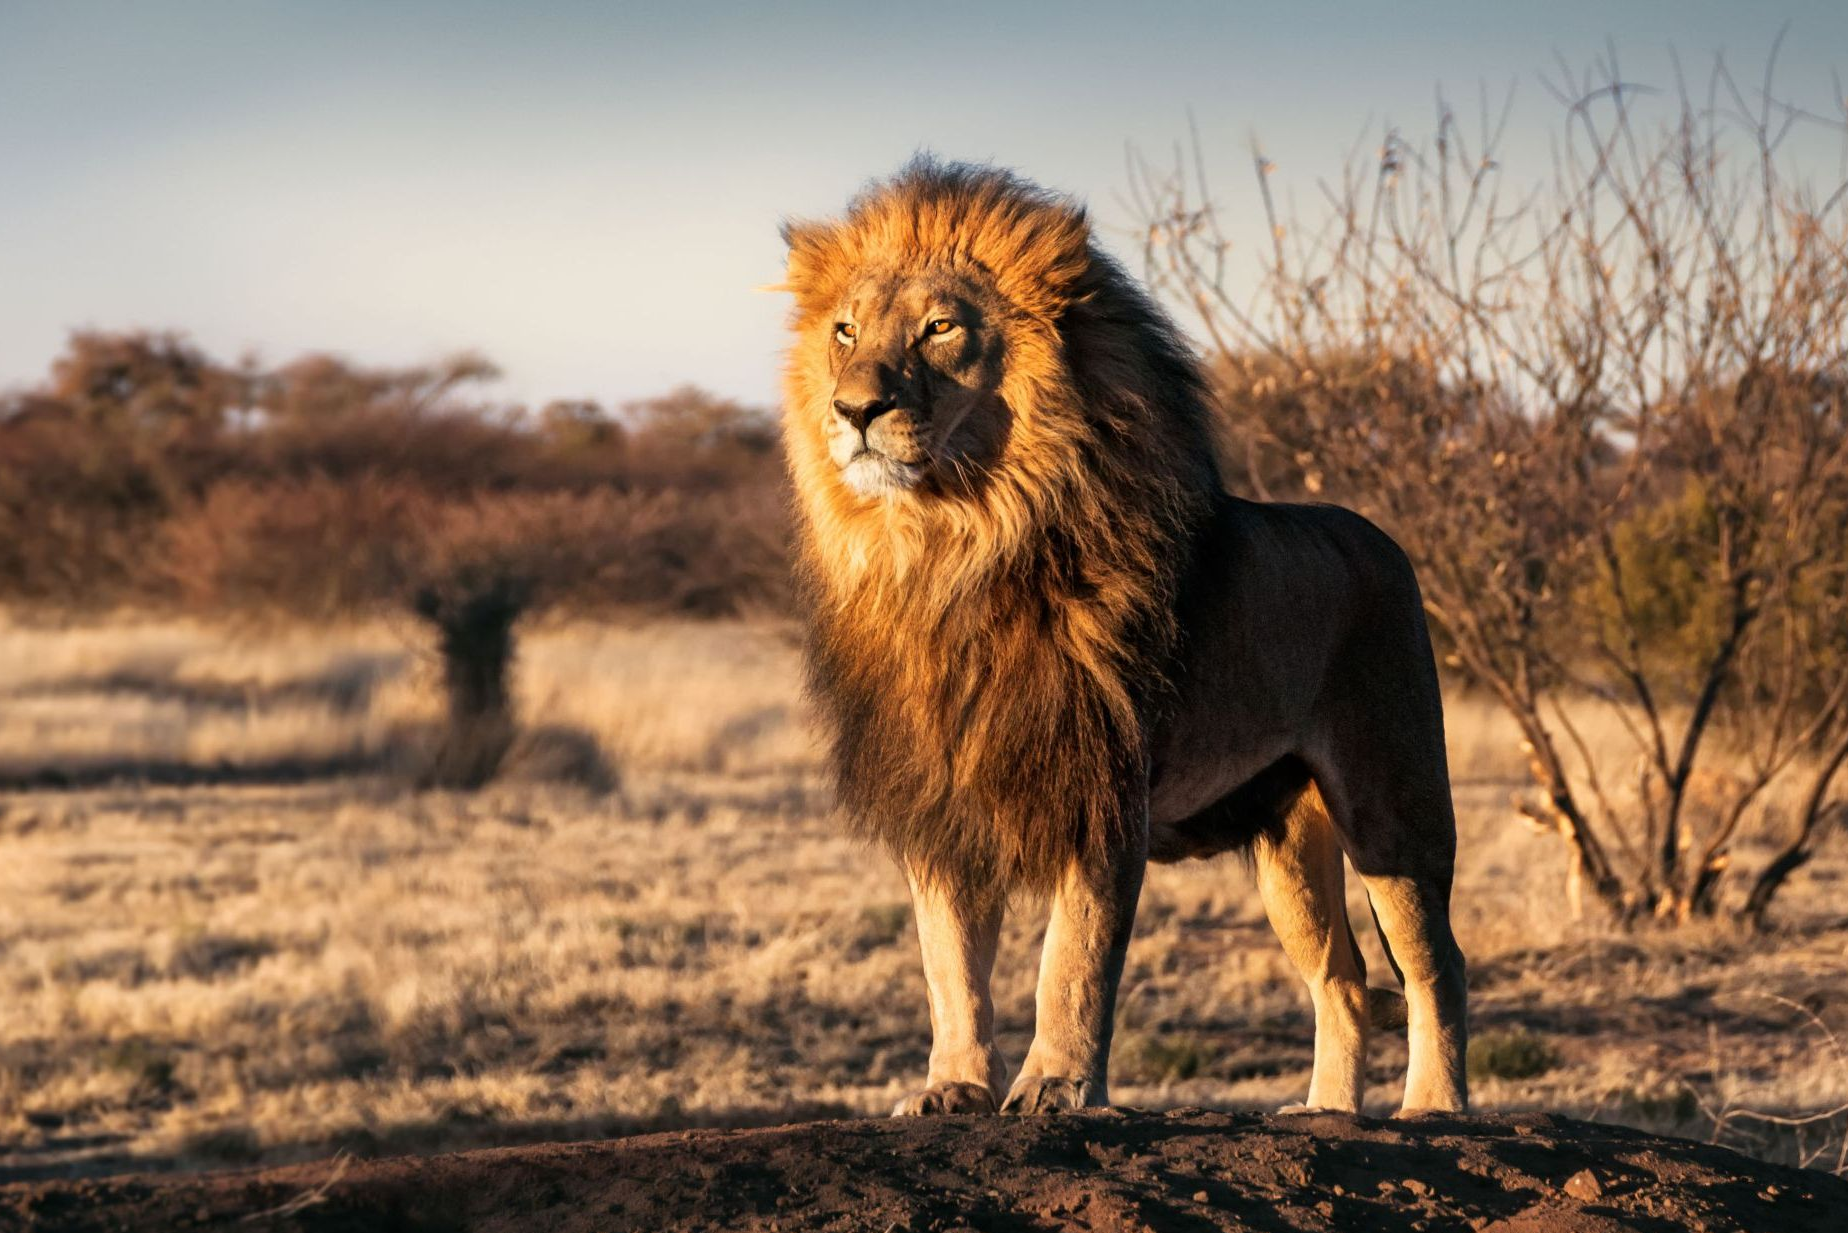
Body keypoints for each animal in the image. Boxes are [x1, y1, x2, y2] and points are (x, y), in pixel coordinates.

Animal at [777, 159, 1467, 1117]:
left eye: (940, 327)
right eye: (844, 331)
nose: (854, 408)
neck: (954, 548)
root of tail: (1384, 539)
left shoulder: (1103, 783)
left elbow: (1072, 958)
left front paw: (1056, 1085)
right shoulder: (940, 797)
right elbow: (949, 963)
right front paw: (954, 1086)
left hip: (1392, 805)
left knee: (1436, 961)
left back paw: (1434, 1105)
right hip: (1289, 844)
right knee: (1343, 976)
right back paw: (1326, 1110)